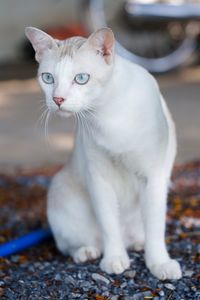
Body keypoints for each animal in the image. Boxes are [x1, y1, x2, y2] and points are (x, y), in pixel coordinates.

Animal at [25, 25, 182, 278]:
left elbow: (156, 227)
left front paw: (159, 264)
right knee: (71, 244)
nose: (57, 99)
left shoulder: (154, 176)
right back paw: (87, 252)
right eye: (48, 78)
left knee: (143, 232)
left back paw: (139, 244)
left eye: (81, 79)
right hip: (59, 190)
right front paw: (115, 259)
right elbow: (109, 224)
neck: (108, 113)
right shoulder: (99, 179)